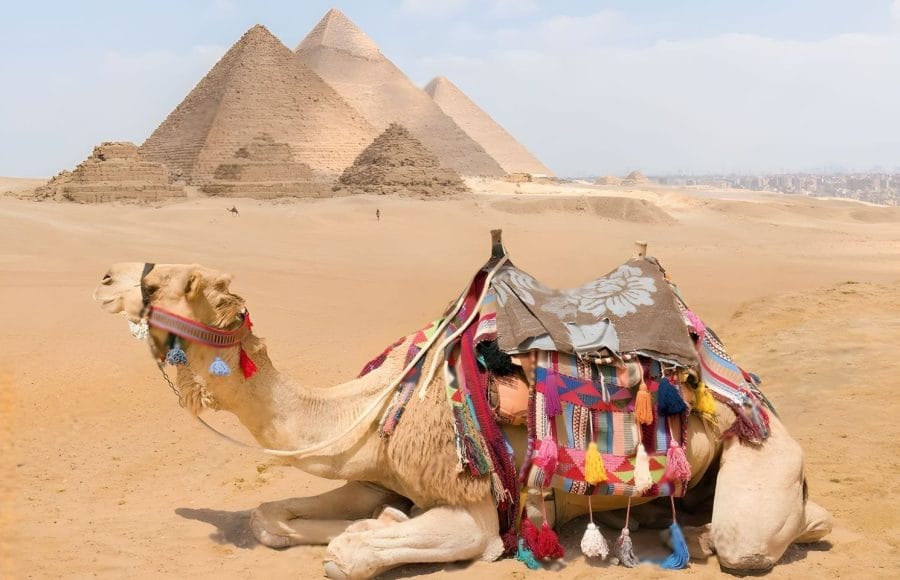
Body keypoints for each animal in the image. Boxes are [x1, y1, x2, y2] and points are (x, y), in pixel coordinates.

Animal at [93, 241, 832, 579]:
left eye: (168, 281)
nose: (103, 276)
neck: (375, 409)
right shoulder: (373, 469)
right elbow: (270, 518)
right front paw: (372, 519)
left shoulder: (476, 505)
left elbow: (354, 554)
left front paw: (367, 538)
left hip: (763, 447)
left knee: (757, 534)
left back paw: (715, 537)